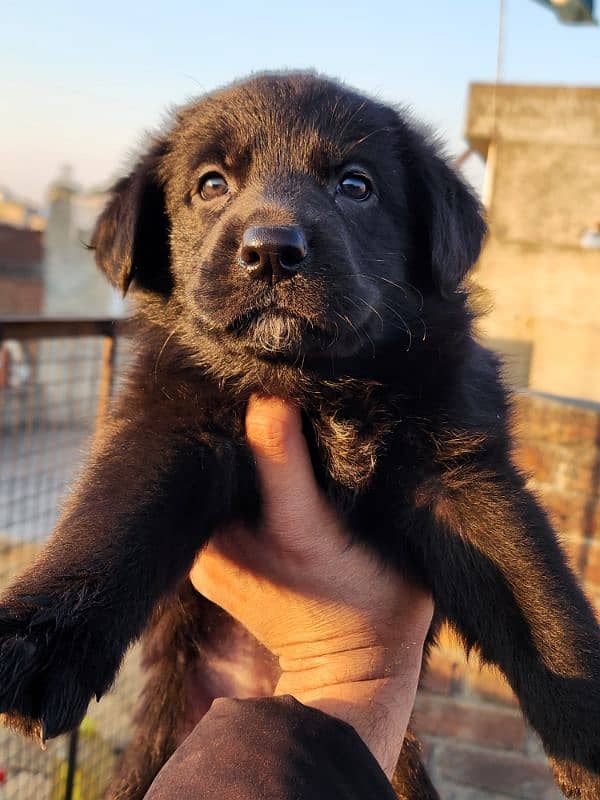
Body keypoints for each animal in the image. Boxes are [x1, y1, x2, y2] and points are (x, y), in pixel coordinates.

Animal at [1, 72, 600, 796]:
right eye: (211, 184)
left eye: (355, 185)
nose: (270, 253)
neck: (315, 383)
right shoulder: (169, 422)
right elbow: (110, 523)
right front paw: (39, 640)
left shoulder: (463, 474)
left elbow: (541, 602)